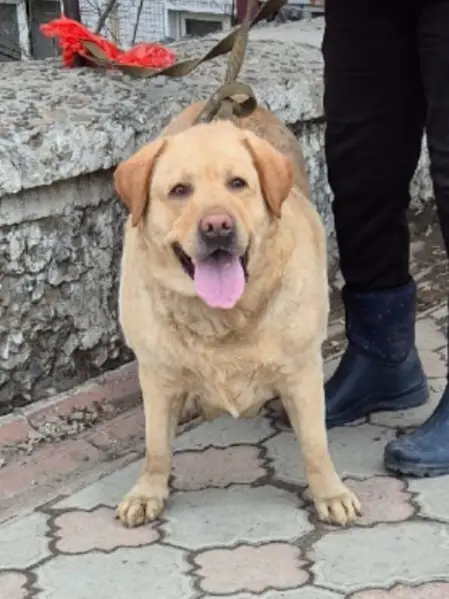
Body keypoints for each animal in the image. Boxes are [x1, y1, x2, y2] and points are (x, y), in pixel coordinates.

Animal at [113, 101, 361, 528]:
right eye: (179, 190)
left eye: (238, 184)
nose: (217, 226)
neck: (223, 318)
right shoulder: (157, 374)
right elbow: (155, 446)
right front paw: (148, 492)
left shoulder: (302, 371)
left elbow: (315, 445)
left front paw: (330, 493)